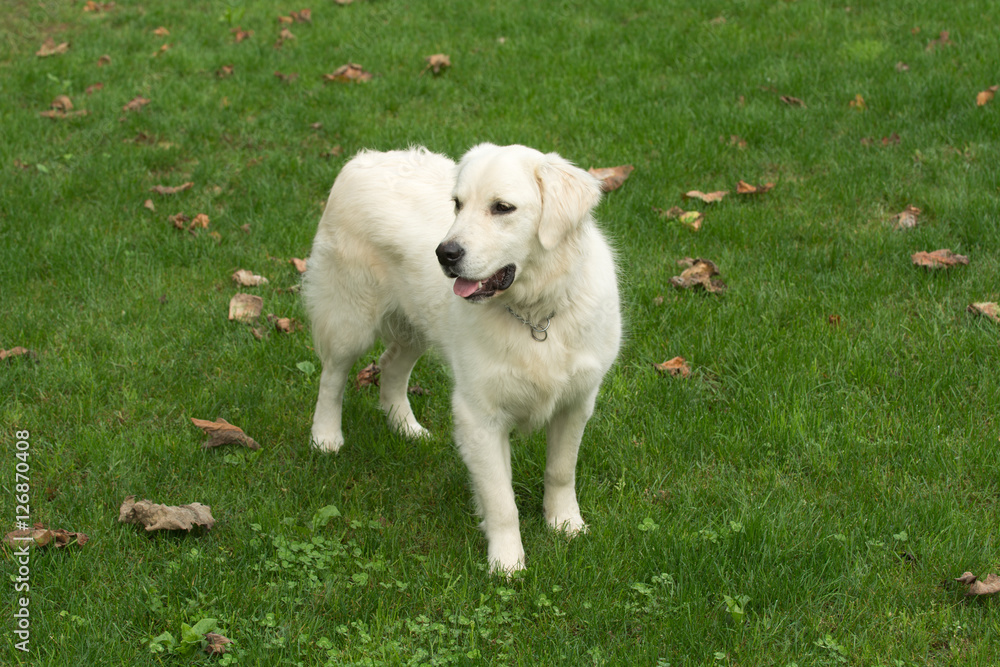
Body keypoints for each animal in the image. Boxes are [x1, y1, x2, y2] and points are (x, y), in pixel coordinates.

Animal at [300, 144, 620, 572]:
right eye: (457, 204)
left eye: (502, 208)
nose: (444, 253)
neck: (535, 314)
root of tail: (362, 159)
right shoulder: (479, 416)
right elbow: (502, 501)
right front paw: (507, 563)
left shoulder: (576, 402)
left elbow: (560, 471)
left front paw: (565, 524)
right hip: (349, 320)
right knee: (332, 377)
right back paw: (326, 437)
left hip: (415, 326)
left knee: (391, 367)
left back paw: (406, 427)